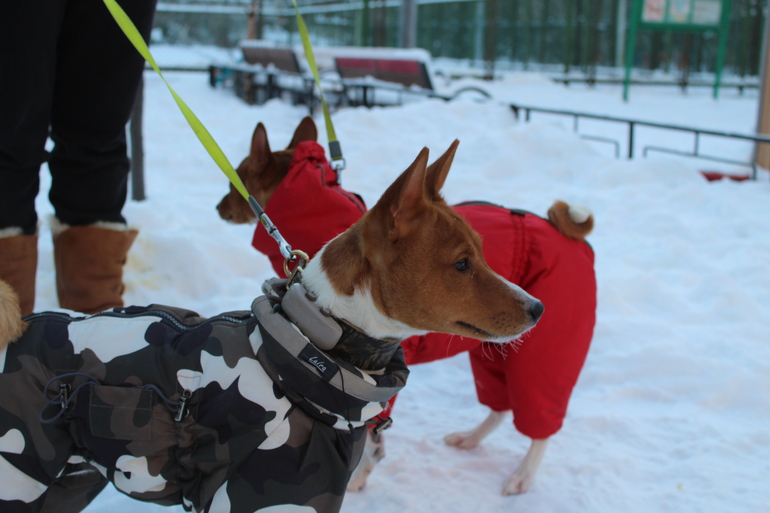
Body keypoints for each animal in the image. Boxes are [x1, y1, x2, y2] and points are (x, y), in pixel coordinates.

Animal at [0, 139, 543, 513]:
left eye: (481, 253)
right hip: (20, 472)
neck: (313, 352)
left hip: (65, 482)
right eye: (461, 265)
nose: (537, 308)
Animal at [217, 117, 596, 497]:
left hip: (547, 351)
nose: (538, 309)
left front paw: (358, 479)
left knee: (540, 421)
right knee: (501, 406)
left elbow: (371, 438)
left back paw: (523, 475)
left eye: (236, 177)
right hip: (494, 349)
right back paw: (471, 439)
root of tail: (568, 233)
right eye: (462, 264)